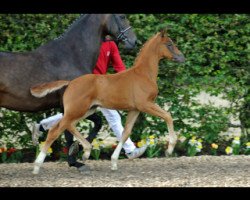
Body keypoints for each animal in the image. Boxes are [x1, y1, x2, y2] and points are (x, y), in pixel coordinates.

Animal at [30, 29, 185, 173]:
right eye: (169, 44)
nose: (181, 57)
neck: (143, 74)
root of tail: (70, 82)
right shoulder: (146, 105)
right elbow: (168, 116)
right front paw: (170, 149)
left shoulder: (135, 109)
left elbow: (125, 133)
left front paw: (114, 162)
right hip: (78, 110)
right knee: (56, 130)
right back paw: (38, 165)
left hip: (86, 110)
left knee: (67, 125)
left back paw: (85, 151)